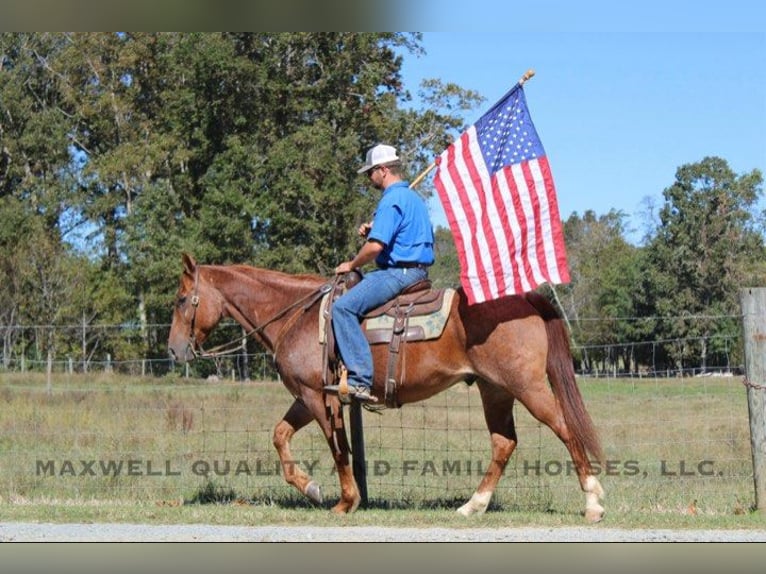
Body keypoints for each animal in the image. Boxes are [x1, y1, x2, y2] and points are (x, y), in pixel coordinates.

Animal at [167, 253, 605, 521]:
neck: (299, 316)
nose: (174, 350)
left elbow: (339, 449)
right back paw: (472, 506)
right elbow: (279, 436)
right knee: (503, 444)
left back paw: (593, 502)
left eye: (181, 299)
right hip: (493, 390)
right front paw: (311, 488)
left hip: (527, 387)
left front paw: (346, 501)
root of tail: (527, 298)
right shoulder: (305, 397)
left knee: (565, 430)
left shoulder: (317, 397)